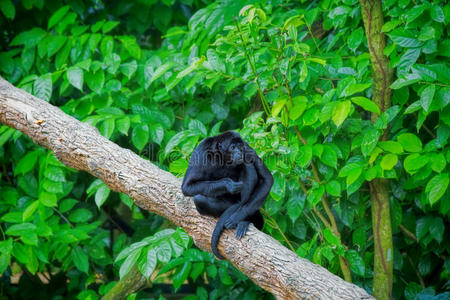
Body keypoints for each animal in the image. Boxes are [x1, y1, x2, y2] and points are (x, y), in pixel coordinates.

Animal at [181, 131, 272, 260]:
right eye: (233, 147)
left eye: (240, 146)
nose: (239, 152)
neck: (222, 159)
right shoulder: (201, 149)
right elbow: (187, 187)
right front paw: (228, 184)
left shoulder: (247, 147)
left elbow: (267, 179)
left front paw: (237, 217)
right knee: (199, 199)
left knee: (246, 165)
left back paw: (244, 220)